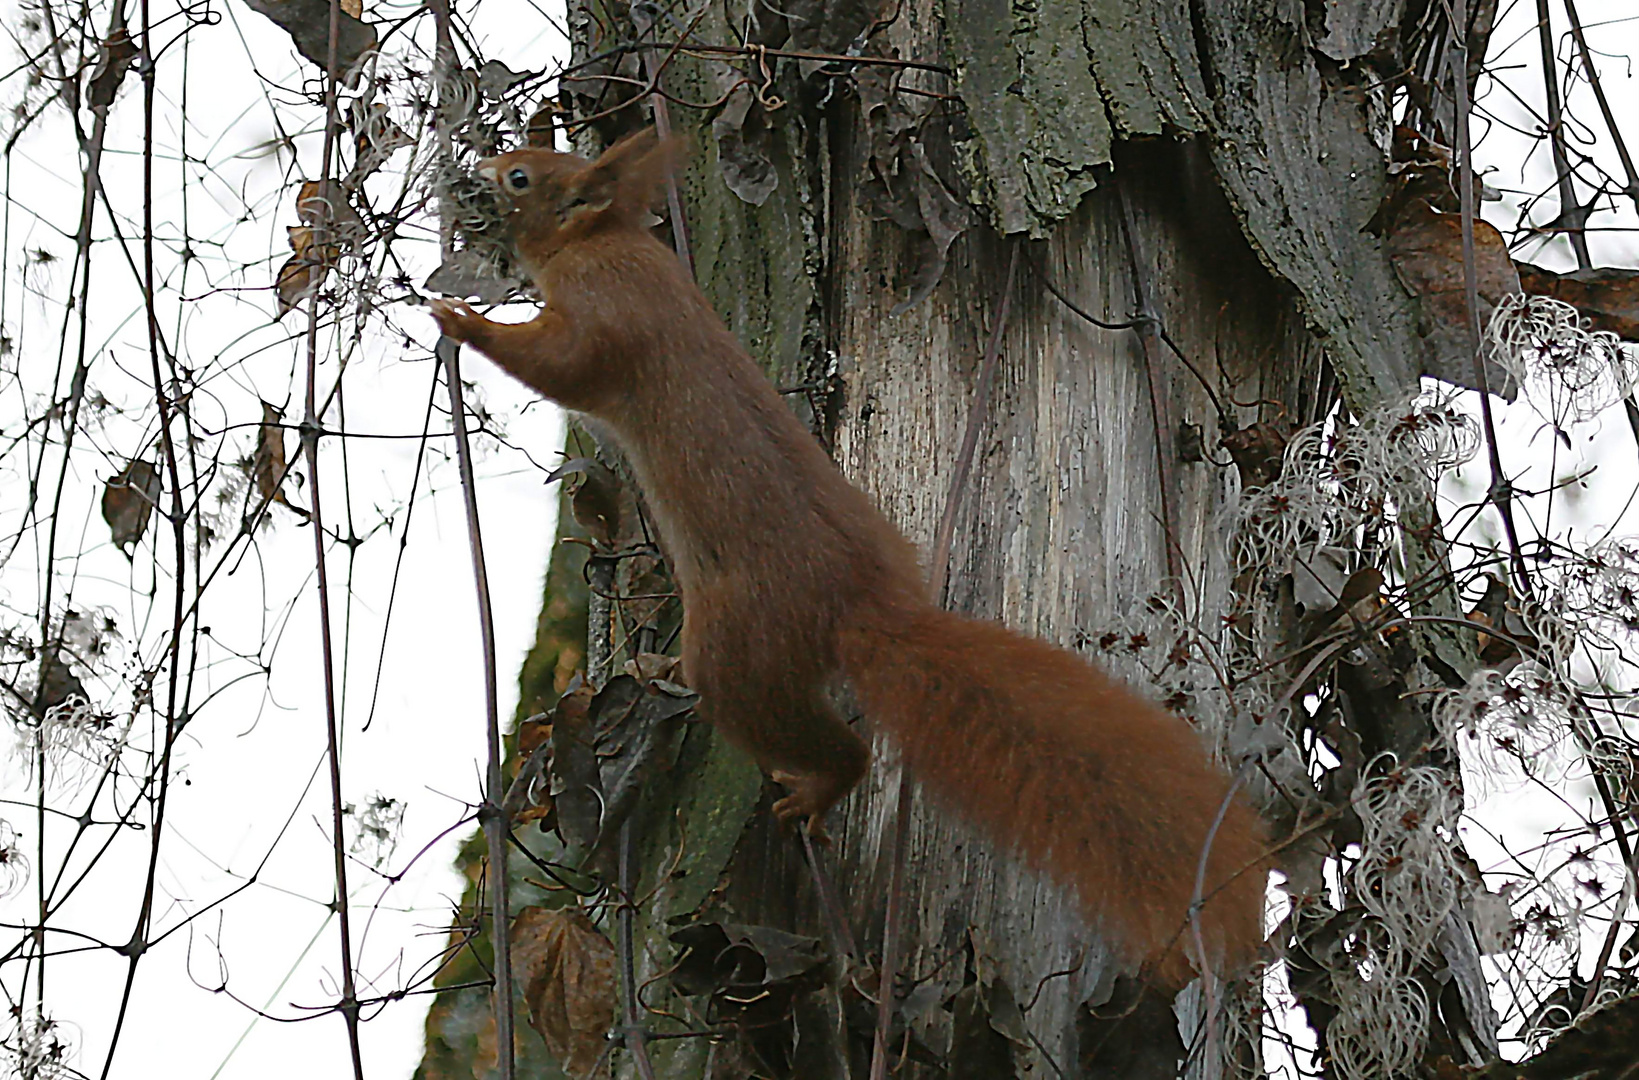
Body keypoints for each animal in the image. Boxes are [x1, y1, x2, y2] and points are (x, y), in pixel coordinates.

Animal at [426, 128, 1265, 989]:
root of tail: (862, 608)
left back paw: (818, 786)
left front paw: (461, 321)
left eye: (521, 177)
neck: (606, 244)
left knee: (832, 743)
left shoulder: (603, 317)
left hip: (736, 656)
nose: (476, 173)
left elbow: (561, 365)